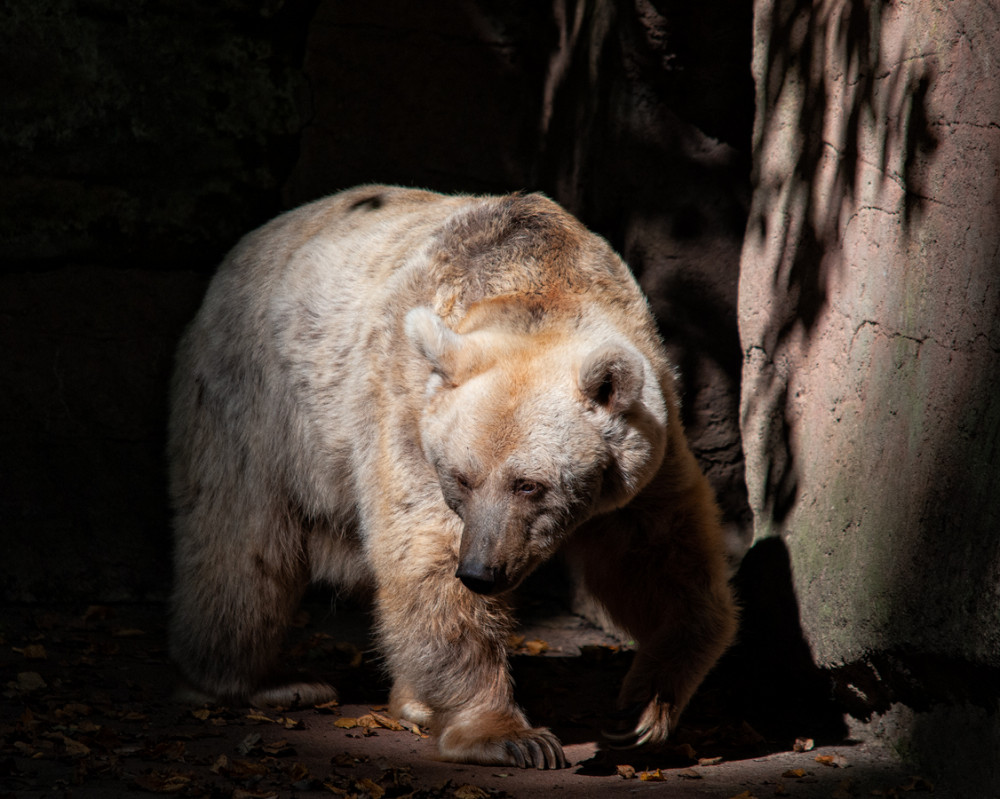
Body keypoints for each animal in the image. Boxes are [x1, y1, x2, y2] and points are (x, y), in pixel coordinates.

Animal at [168, 184, 740, 772]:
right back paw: (258, 683)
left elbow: (657, 554)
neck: (538, 282)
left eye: (529, 484)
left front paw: (644, 706)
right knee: (244, 545)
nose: (482, 571)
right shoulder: (408, 409)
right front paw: (508, 735)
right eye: (461, 478)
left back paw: (411, 701)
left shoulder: (643, 451)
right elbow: (426, 554)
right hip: (257, 403)